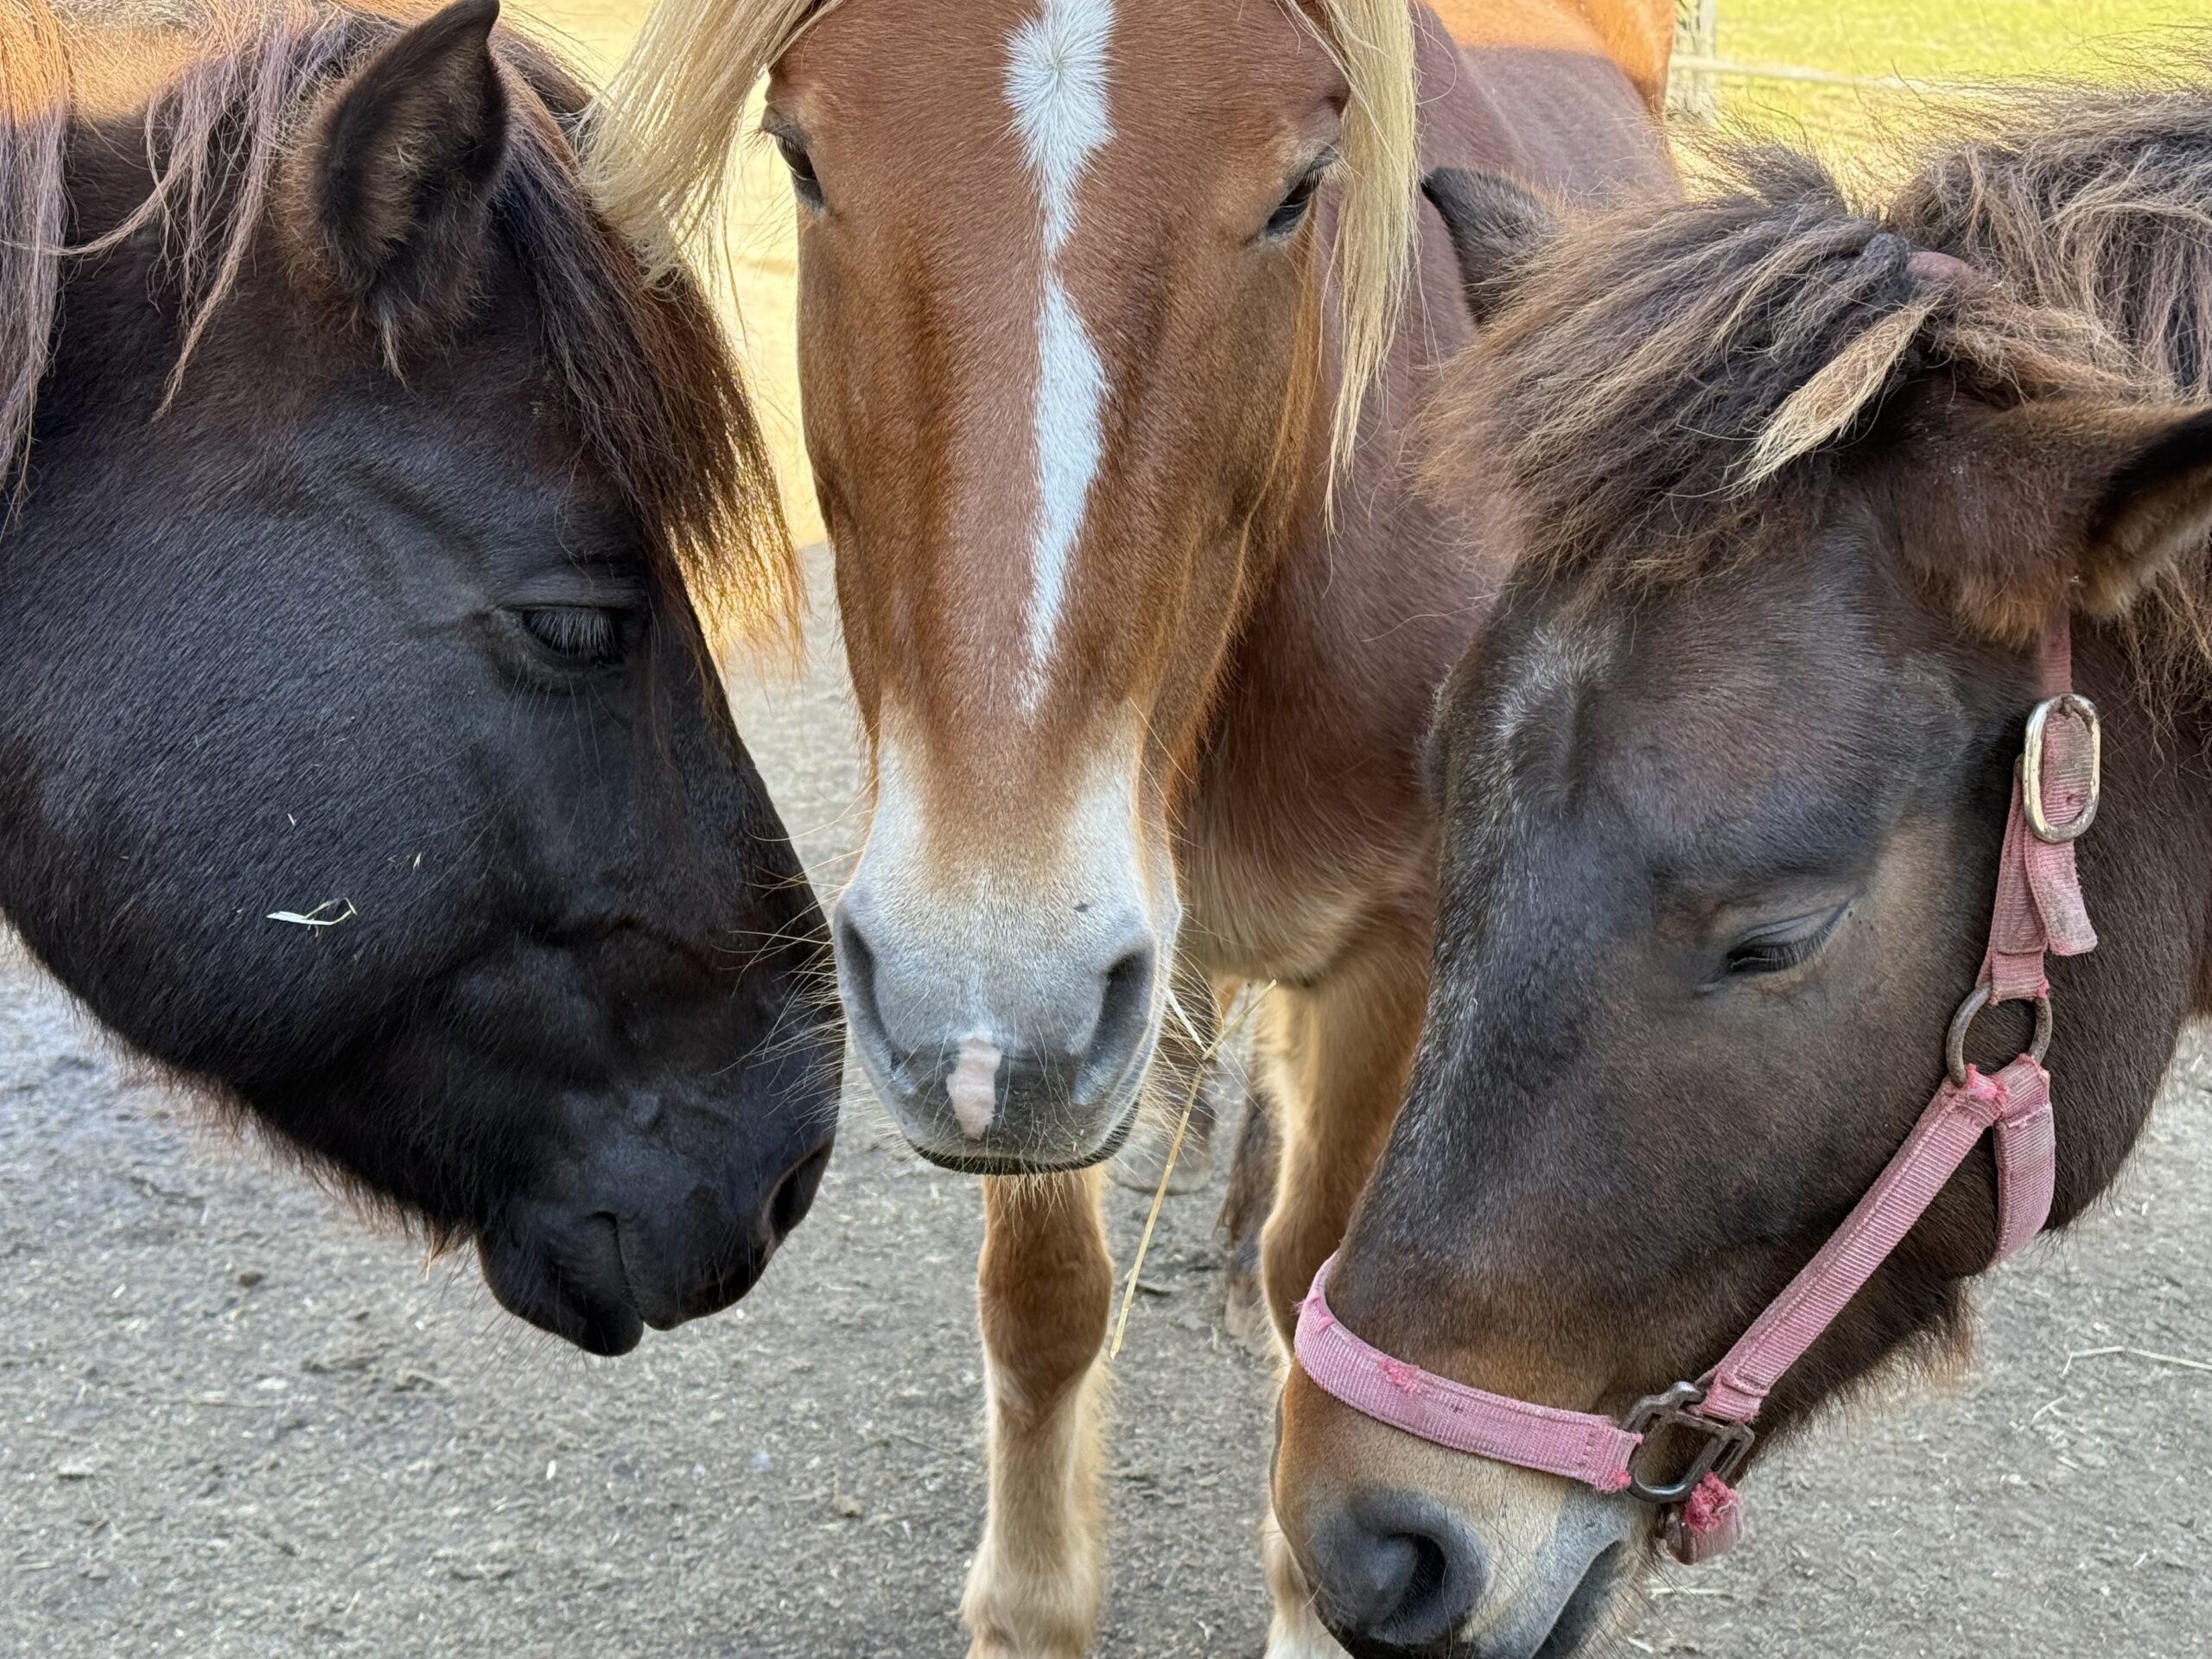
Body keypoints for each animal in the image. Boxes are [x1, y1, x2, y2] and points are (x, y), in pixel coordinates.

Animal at [594, 1, 1674, 1651]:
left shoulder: (1397, 953)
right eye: (803, 156)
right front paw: (1034, 1605)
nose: (987, 1018)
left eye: (1302, 187)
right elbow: (1044, 1310)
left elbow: (1320, 1318)